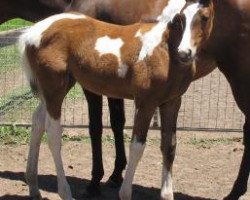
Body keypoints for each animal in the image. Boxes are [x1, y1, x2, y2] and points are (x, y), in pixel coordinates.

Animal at [18, 0, 212, 199]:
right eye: (181, 18)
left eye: (205, 17)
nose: (184, 53)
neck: (164, 50)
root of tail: (31, 33)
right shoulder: (145, 103)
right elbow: (137, 147)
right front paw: (124, 192)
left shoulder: (172, 103)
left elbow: (169, 146)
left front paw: (167, 195)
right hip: (54, 87)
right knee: (53, 133)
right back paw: (65, 192)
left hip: (59, 87)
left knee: (37, 121)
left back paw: (33, 187)